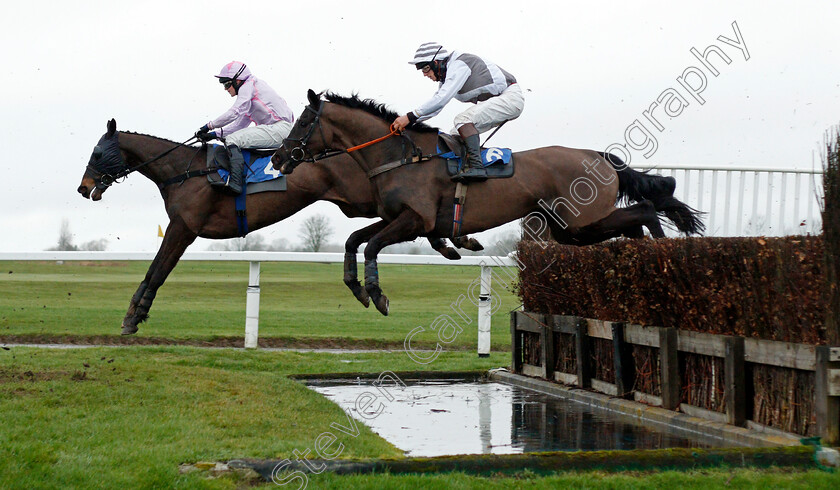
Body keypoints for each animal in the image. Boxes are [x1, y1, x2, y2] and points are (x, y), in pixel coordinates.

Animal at [79, 118, 486, 334]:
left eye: (97, 152)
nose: (83, 189)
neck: (184, 170)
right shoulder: (182, 228)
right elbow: (157, 270)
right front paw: (135, 315)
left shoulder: (184, 227)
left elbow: (157, 270)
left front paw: (133, 317)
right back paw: (454, 241)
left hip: (360, 201)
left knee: (411, 215)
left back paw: (454, 239)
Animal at [274, 90, 704, 316]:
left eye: (302, 122)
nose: (278, 158)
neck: (401, 156)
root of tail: (598, 155)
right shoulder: (398, 218)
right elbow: (353, 240)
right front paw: (357, 288)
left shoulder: (414, 221)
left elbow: (373, 245)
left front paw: (377, 294)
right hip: (571, 230)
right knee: (634, 221)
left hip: (579, 223)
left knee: (644, 211)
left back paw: (664, 256)